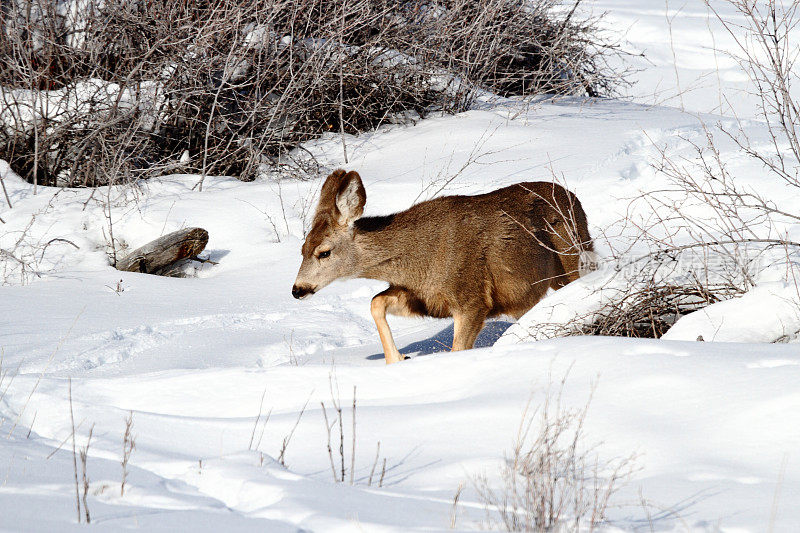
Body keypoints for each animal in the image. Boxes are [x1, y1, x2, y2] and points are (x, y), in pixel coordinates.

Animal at [294, 169, 592, 362]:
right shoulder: (422, 297)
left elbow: (458, 350)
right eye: (302, 249)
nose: (297, 289)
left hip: (572, 257)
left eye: (323, 252)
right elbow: (375, 302)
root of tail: (575, 199)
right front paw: (398, 358)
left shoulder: (471, 298)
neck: (417, 258)